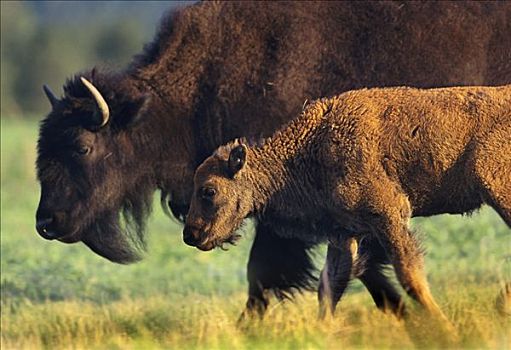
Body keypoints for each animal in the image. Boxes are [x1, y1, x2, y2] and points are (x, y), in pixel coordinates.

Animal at [184, 85, 511, 330]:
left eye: (208, 190)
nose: (191, 234)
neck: (309, 147)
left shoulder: (389, 216)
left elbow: (409, 276)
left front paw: (447, 331)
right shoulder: (345, 233)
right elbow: (328, 287)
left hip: (498, 192)